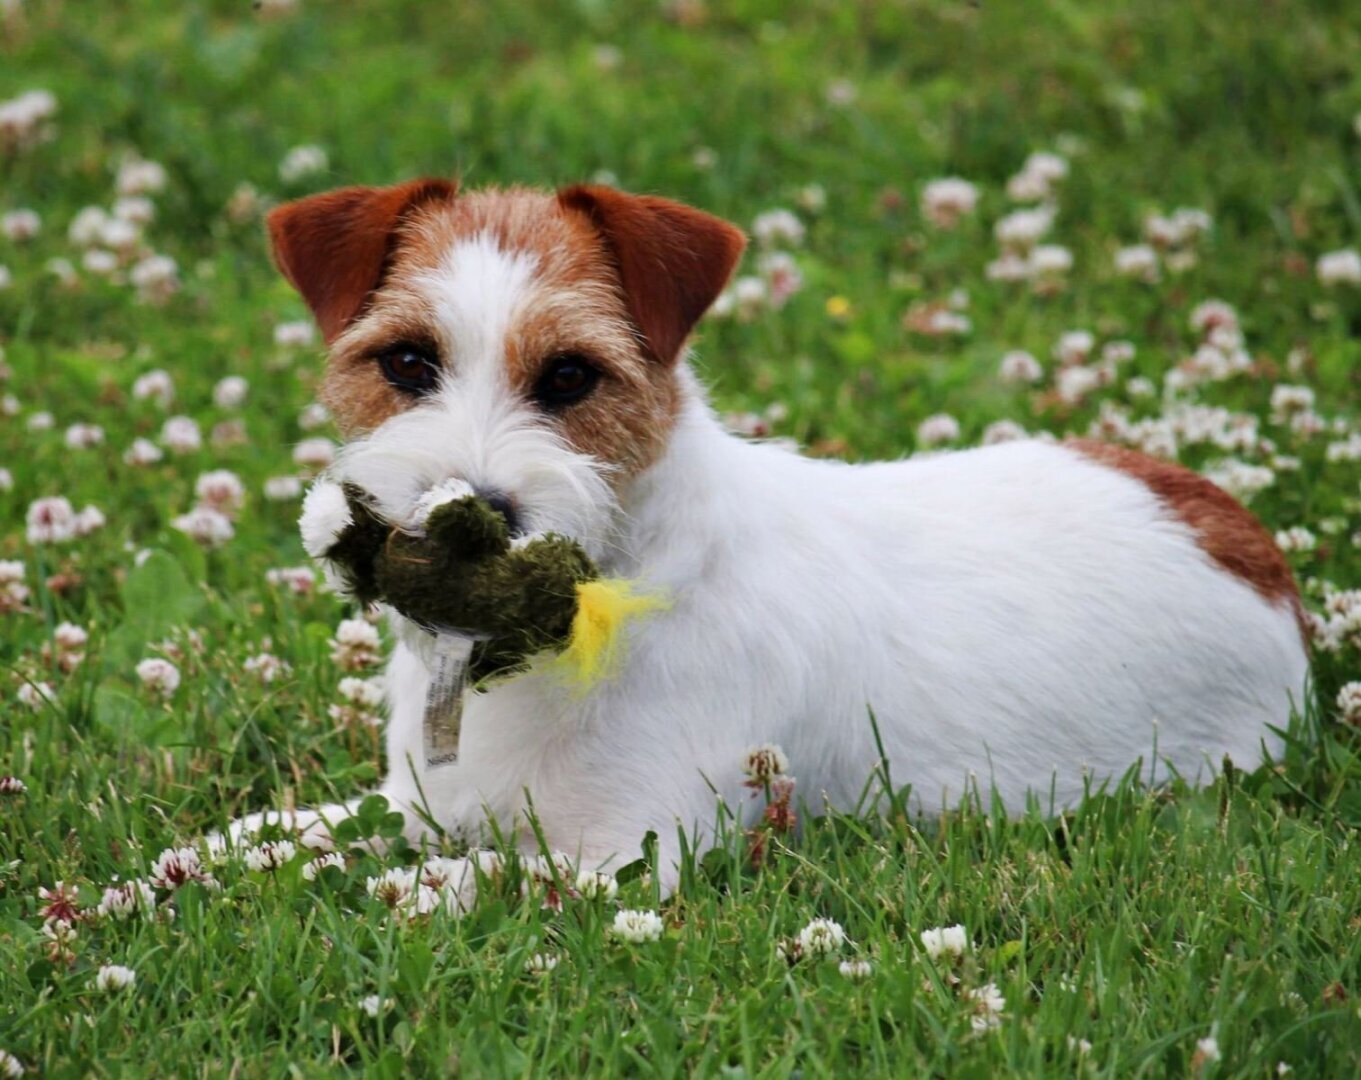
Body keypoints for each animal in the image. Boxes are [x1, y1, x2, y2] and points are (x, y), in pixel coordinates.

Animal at [231, 176, 1306, 881]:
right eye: (408, 363)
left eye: (571, 376)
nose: (471, 518)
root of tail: (1245, 541)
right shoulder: (414, 807)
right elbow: (271, 836)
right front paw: (195, 874)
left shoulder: (613, 862)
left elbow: (427, 889)